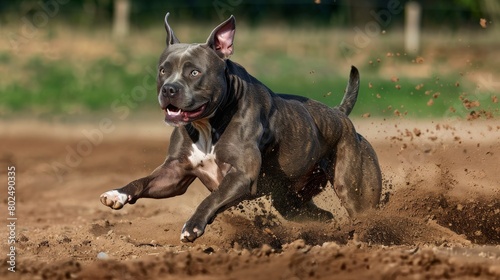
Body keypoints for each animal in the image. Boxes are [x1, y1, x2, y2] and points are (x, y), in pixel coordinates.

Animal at [100, 13, 382, 242]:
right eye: (162, 70)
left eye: (194, 73)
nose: (169, 89)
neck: (208, 124)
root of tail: (340, 114)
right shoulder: (174, 173)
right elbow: (142, 181)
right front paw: (117, 194)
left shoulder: (241, 175)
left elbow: (212, 198)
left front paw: (193, 225)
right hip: (289, 201)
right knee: (321, 216)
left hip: (354, 191)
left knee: (364, 214)